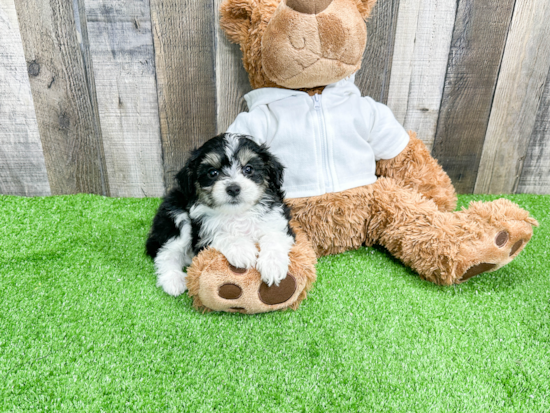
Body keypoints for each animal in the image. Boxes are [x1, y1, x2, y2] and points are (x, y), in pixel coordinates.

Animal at [144, 133, 296, 296]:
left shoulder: (276, 219)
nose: (233, 188)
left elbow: (274, 236)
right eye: (212, 173)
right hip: (176, 214)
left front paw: (273, 265)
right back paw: (173, 279)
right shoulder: (201, 233)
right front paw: (242, 250)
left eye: (248, 169)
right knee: (166, 253)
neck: (237, 213)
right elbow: (218, 233)